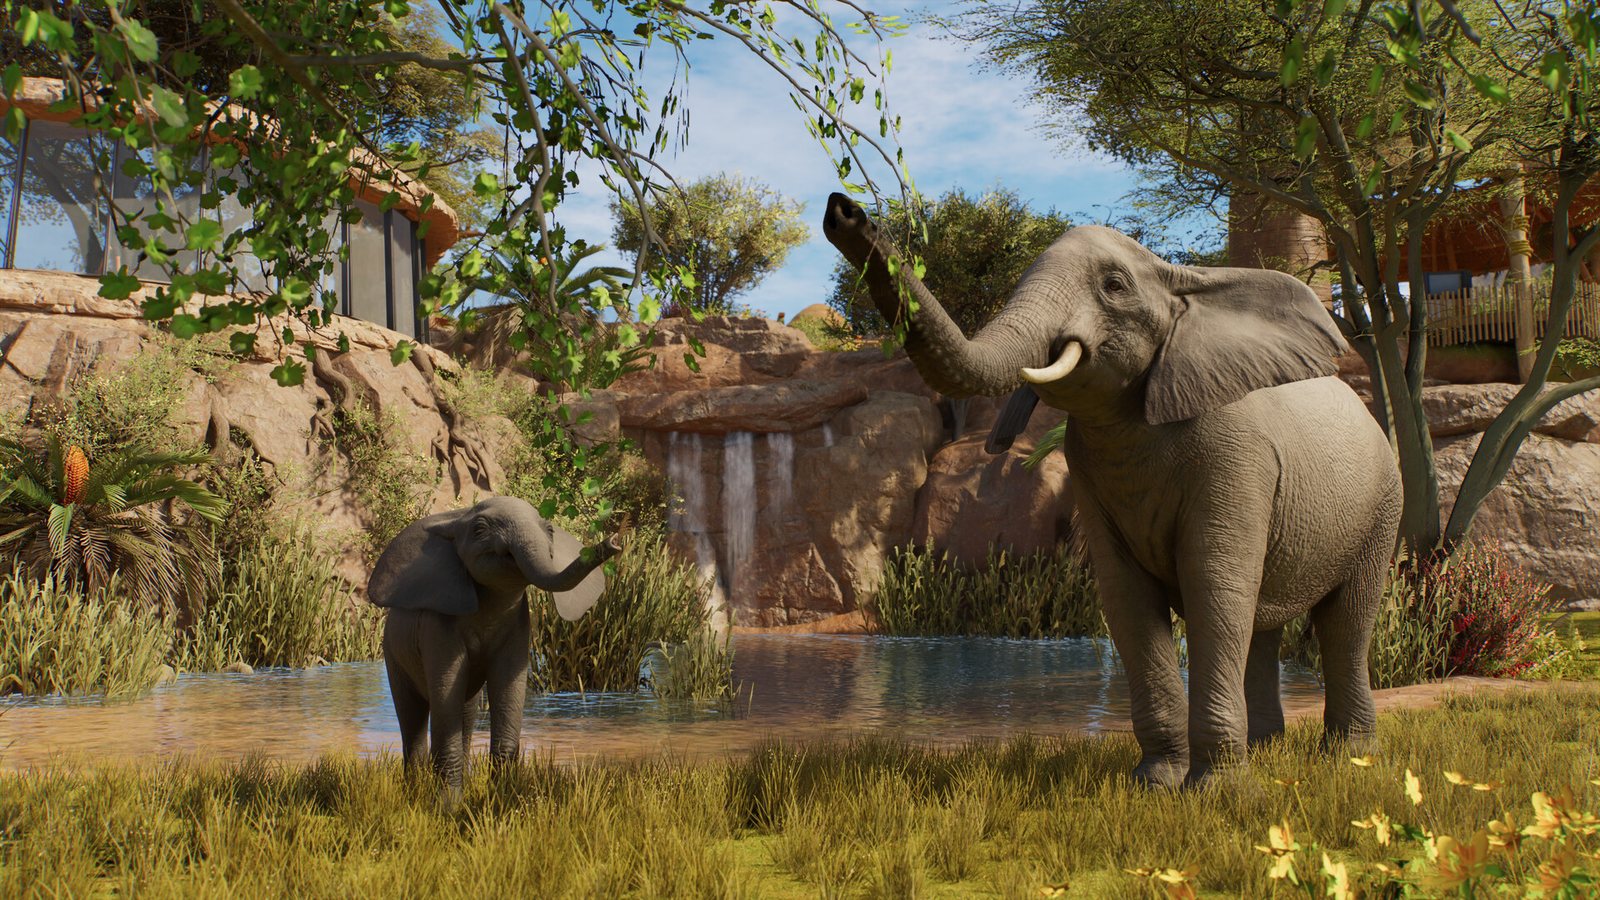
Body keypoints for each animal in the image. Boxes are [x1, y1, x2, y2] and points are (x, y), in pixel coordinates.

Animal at [367, 495, 620, 796]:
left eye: (549, 530)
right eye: (479, 530)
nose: (614, 541)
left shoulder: (519, 623)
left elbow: (508, 689)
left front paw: (502, 797)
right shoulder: (438, 626)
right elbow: (446, 692)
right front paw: (448, 804)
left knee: (465, 712)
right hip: (393, 653)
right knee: (412, 715)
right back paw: (414, 790)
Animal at [822, 193, 1401, 787]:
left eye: (1114, 286)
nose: (845, 210)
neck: (1182, 282)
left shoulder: (1238, 456)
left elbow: (1214, 586)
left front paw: (1218, 791)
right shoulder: (1090, 469)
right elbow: (1127, 598)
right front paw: (1155, 784)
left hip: (1383, 503)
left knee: (1345, 622)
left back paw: (1349, 756)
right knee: (1263, 627)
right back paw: (1267, 749)